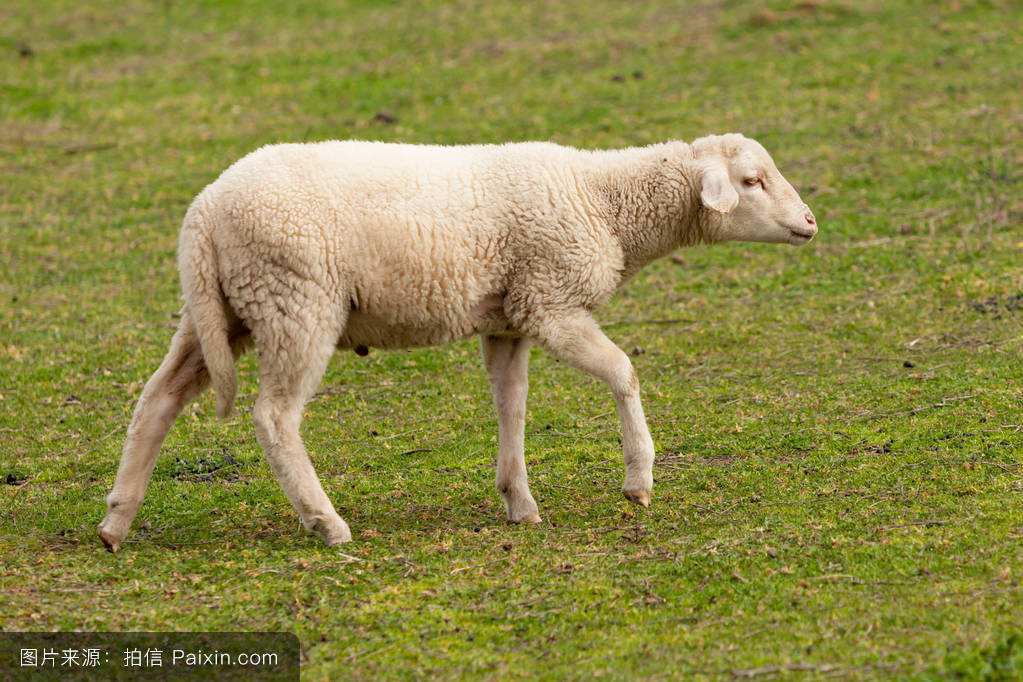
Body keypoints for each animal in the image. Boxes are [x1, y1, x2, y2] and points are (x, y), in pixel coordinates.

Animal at [96, 132, 814, 548]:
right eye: (751, 181)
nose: (809, 223)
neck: (604, 201)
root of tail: (204, 212)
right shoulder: (551, 302)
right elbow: (621, 372)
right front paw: (638, 478)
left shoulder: (510, 318)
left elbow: (511, 406)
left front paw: (518, 501)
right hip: (295, 301)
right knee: (274, 417)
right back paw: (326, 523)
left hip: (224, 310)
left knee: (158, 398)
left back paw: (116, 521)